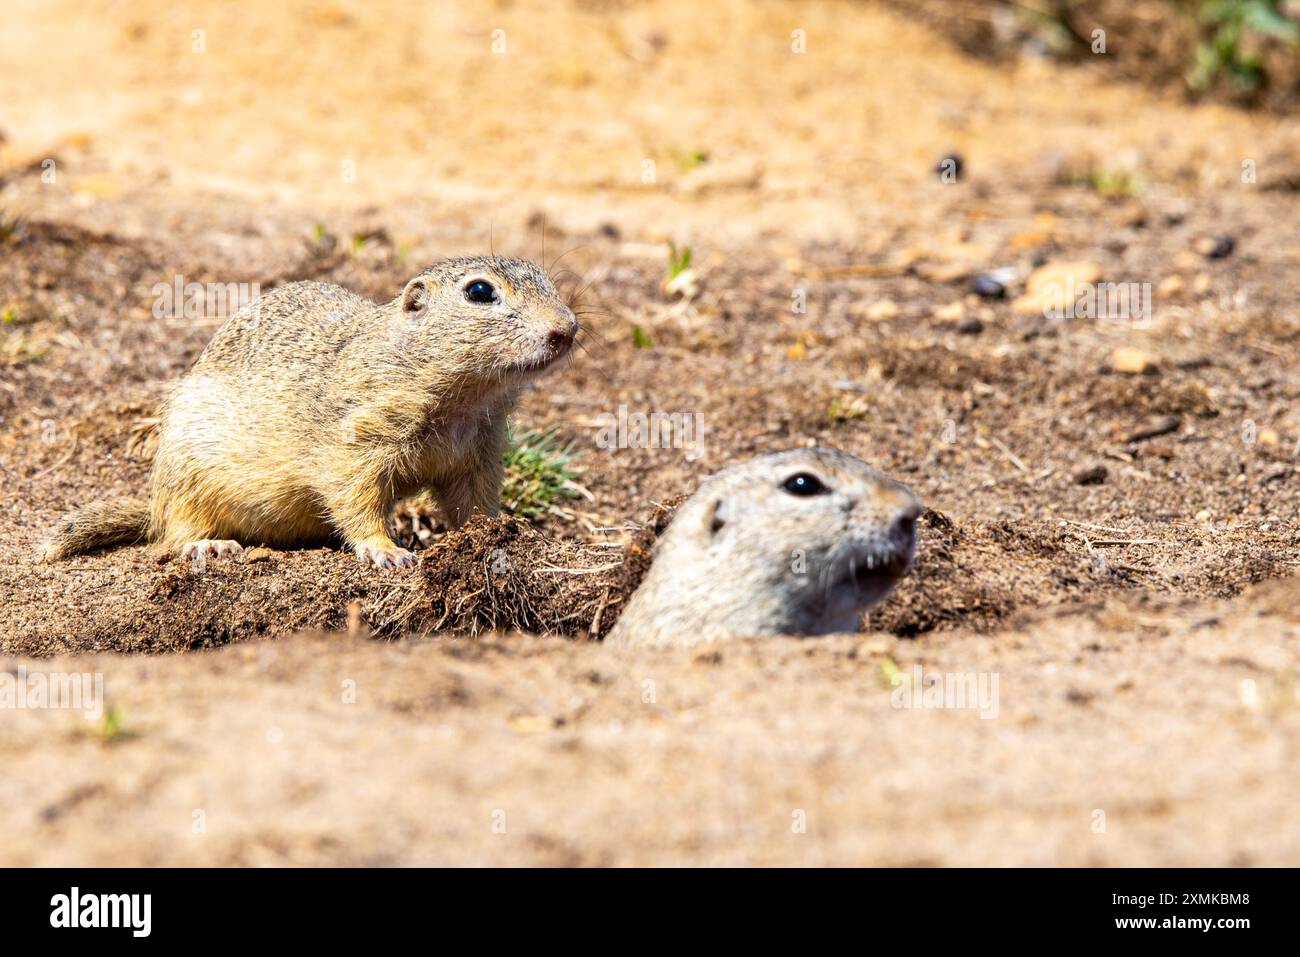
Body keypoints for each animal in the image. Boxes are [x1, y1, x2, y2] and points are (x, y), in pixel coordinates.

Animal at [41, 256, 579, 566]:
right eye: (480, 292)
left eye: (547, 279)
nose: (567, 329)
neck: (468, 397)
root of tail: (150, 504)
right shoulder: (357, 441)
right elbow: (356, 497)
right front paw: (385, 550)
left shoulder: (480, 453)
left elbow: (474, 504)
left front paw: (500, 532)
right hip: (187, 472)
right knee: (173, 533)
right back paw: (207, 545)